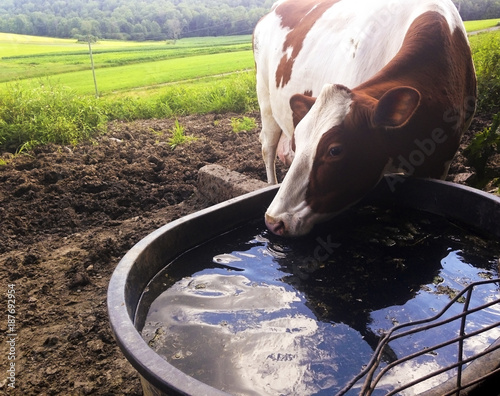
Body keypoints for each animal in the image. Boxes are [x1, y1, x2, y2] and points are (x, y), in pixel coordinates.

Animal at [254, 0, 476, 235]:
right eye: (297, 143)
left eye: (335, 150)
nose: (274, 221)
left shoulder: (441, 162)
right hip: (265, 98)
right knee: (267, 146)